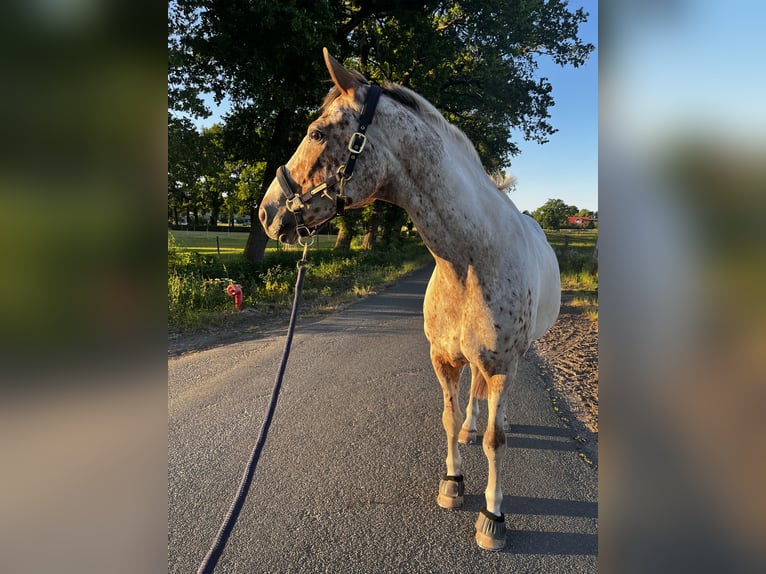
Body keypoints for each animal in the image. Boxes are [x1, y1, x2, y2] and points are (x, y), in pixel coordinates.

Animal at [260, 49, 560, 552]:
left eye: (317, 132)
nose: (267, 212)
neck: (470, 261)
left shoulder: (502, 364)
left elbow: (495, 442)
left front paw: (492, 516)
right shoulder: (442, 357)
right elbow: (448, 417)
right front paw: (453, 483)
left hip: (517, 354)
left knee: (495, 412)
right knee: (473, 401)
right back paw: (472, 425)